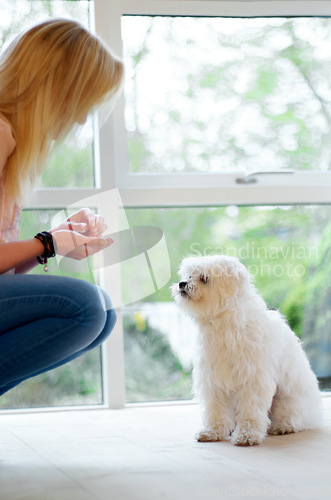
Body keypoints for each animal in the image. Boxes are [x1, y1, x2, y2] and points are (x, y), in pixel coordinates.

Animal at [172, 256, 322, 448]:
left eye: (204, 278)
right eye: (189, 275)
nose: (182, 283)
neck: (224, 324)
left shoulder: (252, 380)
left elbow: (251, 412)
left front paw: (247, 435)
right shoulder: (213, 380)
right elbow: (216, 411)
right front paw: (213, 432)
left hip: (287, 400)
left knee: (294, 418)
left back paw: (282, 426)